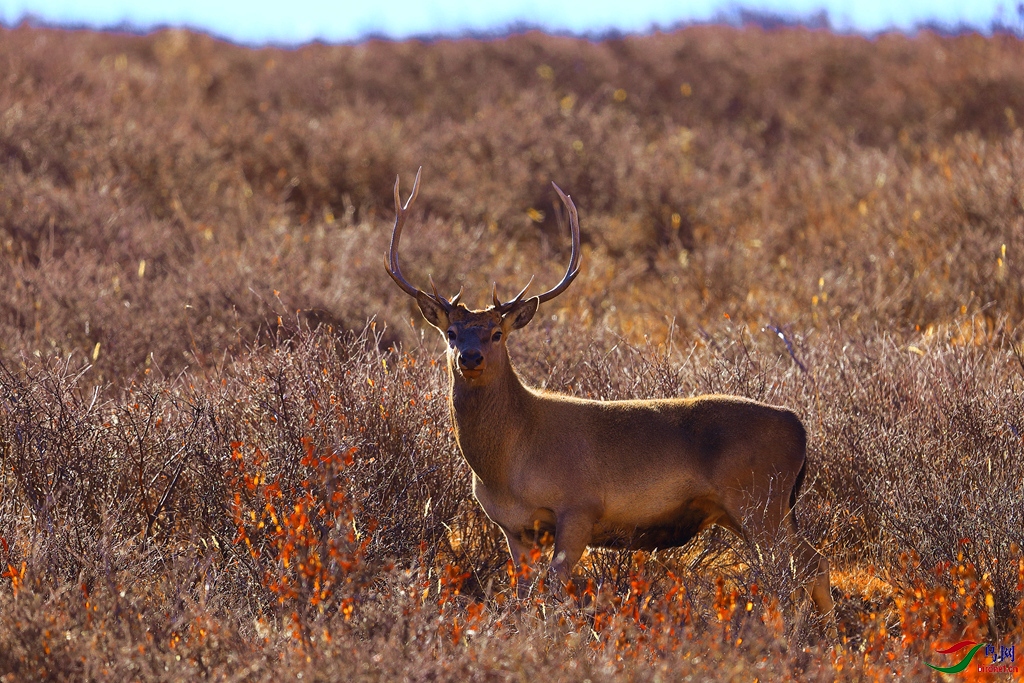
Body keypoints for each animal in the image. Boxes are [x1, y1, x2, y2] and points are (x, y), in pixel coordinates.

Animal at [385, 167, 831, 622]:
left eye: (496, 333)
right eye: (451, 333)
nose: (470, 357)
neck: (507, 464)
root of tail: (798, 426)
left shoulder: (580, 506)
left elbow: (555, 588)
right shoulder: (512, 526)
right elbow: (525, 593)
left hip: (760, 498)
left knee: (808, 564)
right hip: (759, 508)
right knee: (807, 563)